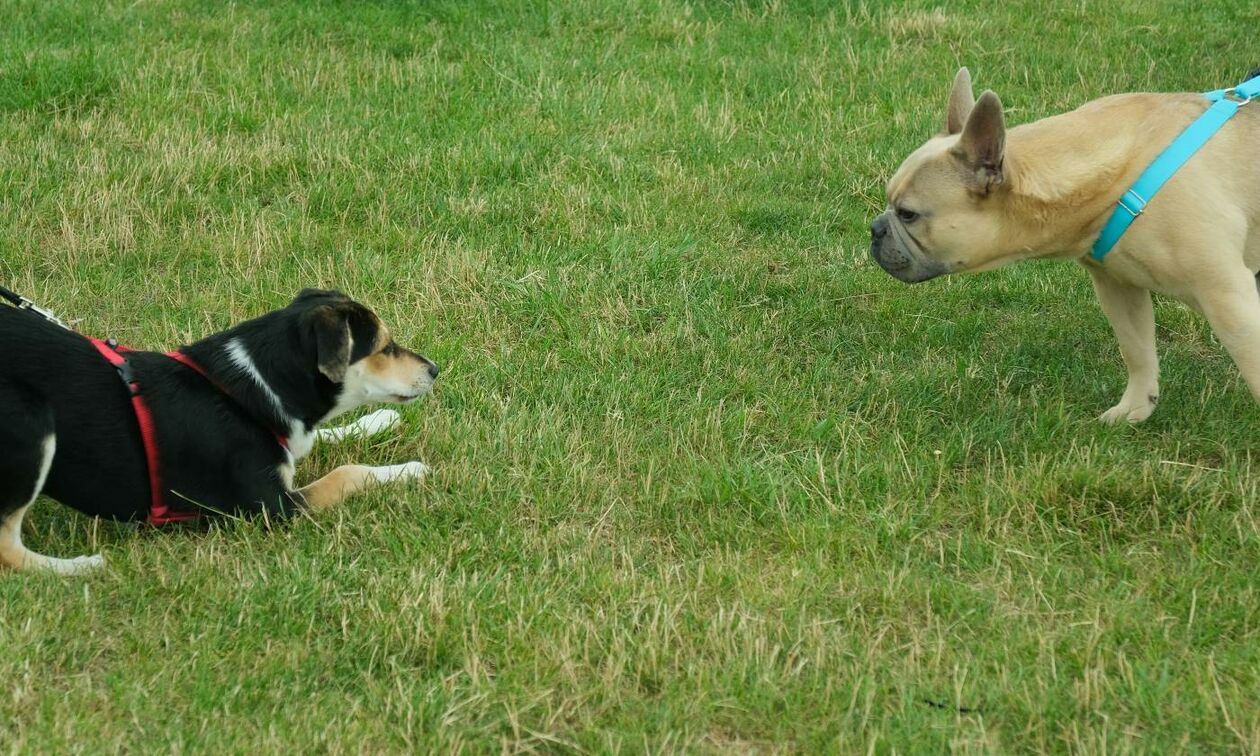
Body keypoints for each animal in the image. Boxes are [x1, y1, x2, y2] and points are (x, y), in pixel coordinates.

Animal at [0, 289, 438, 572]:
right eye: (383, 347)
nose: (434, 369)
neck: (253, 388)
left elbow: (318, 440)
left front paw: (377, 421)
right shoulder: (271, 508)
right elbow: (346, 474)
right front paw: (410, 470)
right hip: (33, 423)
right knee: (7, 546)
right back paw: (79, 567)